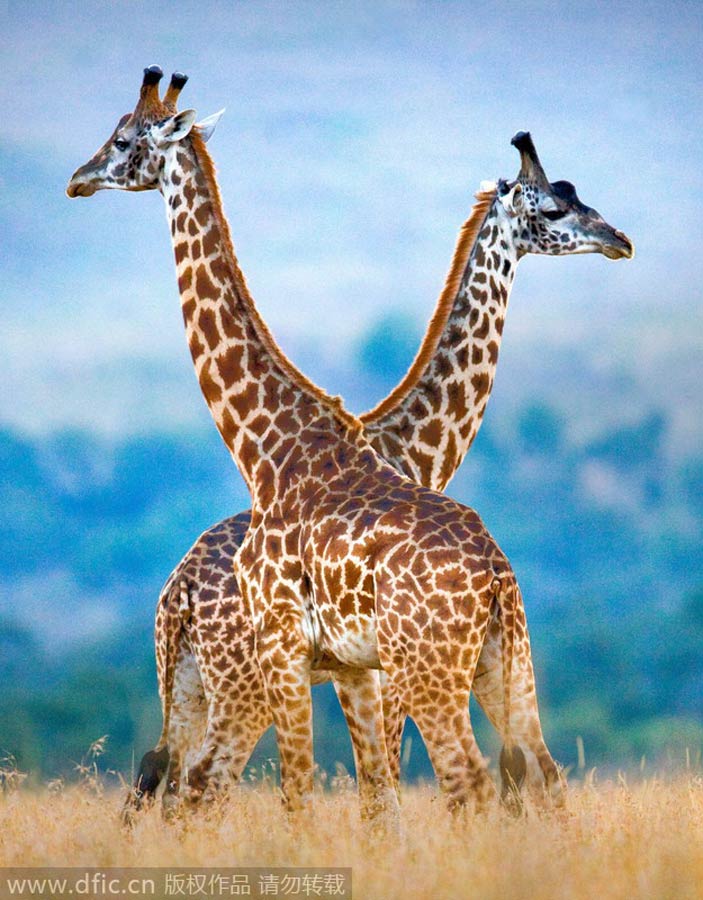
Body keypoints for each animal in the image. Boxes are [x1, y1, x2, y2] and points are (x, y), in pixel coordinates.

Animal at [67, 67, 633, 817]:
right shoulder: (345, 667)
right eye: (551, 208)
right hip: (256, 684)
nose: (619, 239)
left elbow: (356, 797)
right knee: (187, 784)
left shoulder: (336, 664)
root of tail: (173, 594)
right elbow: (356, 797)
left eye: (123, 139)